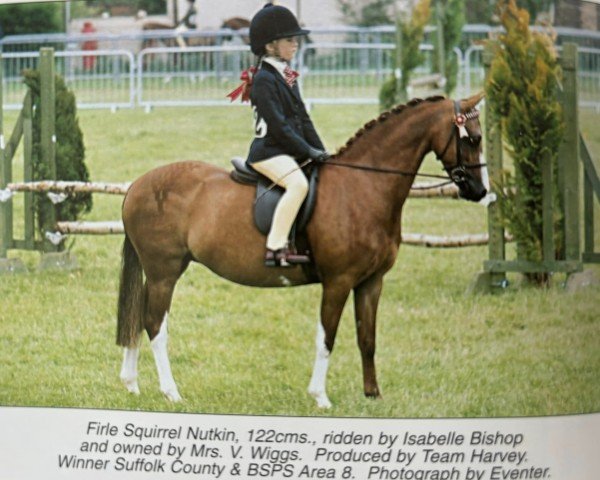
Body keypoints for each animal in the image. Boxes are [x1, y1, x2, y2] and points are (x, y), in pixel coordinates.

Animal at [117, 94, 488, 408]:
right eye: (472, 138)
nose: (480, 190)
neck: (363, 188)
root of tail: (137, 185)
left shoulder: (371, 281)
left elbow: (367, 338)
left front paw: (373, 395)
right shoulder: (338, 281)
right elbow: (327, 337)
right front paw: (320, 397)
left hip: (158, 273)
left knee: (138, 317)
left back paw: (132, 383)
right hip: (165, 272)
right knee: (154, 323)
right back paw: (171, 392)